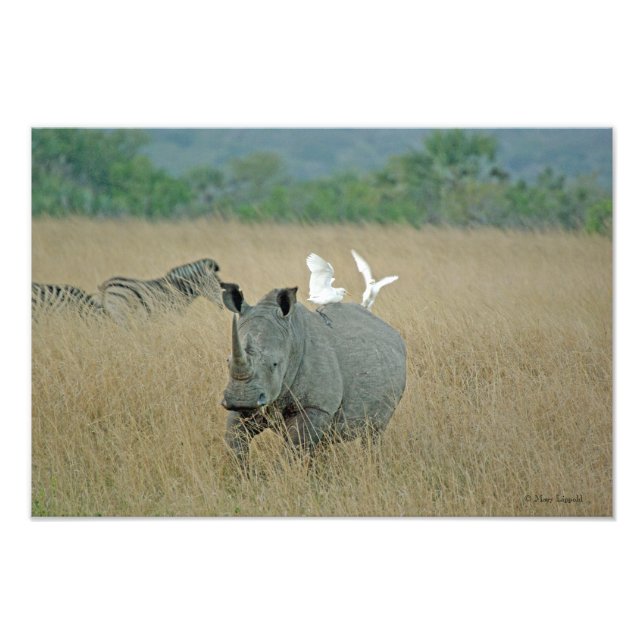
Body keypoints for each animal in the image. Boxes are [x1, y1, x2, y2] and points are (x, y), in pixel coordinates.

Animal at [220, 283, 406, 465]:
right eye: (227, 361)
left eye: (275, 364)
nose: (241, 400)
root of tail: (392, 332)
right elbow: (235, 442)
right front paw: (243, 473)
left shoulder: (316, 406)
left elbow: (295, 449)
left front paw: (288, 472)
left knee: (373, 433)